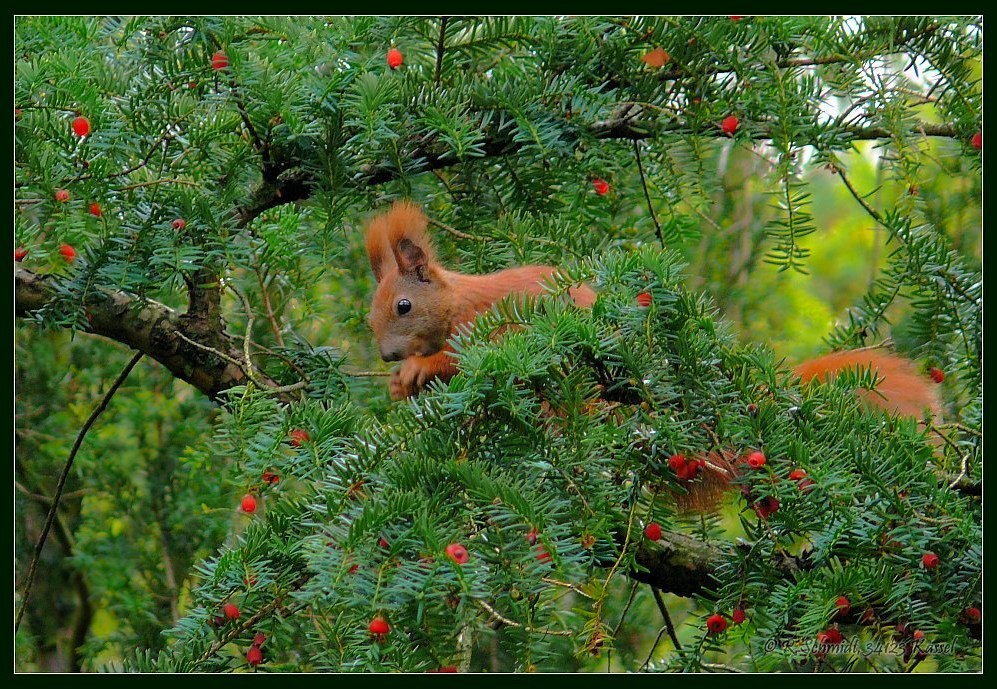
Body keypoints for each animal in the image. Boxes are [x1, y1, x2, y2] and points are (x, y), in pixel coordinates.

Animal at [362, 199, 936, 506]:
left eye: (404, 306)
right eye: (372, 311)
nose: (387, 356)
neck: (455, 303)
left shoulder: (489, 327)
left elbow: (474, 357)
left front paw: (418, 369)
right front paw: (399, 385)